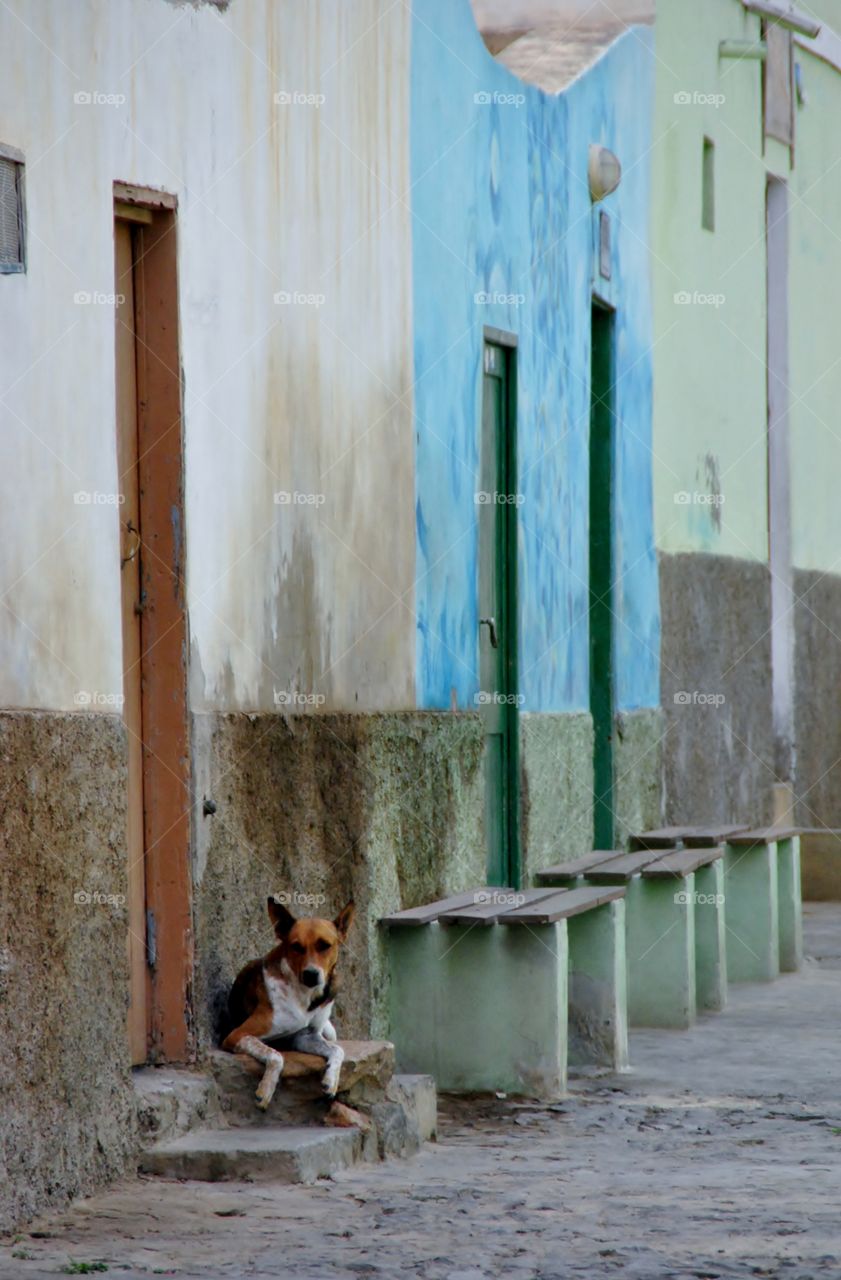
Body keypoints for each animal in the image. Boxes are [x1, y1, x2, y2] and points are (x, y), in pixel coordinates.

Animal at [221, 901, 353, 1111]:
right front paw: (265, 1090)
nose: (311, 974)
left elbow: (338, 1050)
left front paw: (331, 1081)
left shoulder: (304, 1036)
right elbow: (276, 1056)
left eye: (325, 945)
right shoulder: (236, 1035)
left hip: (329, 1031)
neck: (304, 996)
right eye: (296, 947)